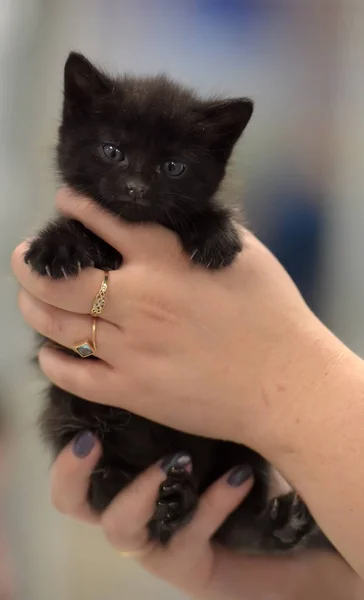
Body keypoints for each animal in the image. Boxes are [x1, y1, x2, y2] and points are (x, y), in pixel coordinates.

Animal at [25, 54, 332, 556]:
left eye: (173, 166)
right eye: (112, 150)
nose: (134, 187)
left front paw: (216, 234)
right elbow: (76, 233)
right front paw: (58, 244)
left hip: (240, 449)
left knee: (233, 518)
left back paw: (254, 518)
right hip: (68, 408)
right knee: (101, 481)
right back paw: (133, 481)